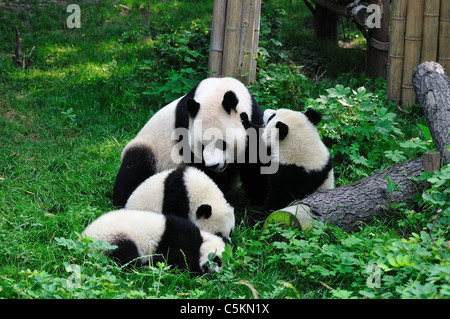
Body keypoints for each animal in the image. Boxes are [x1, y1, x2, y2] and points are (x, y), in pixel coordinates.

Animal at [81, 210, 229, 276]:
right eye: (217, 260)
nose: (212, 271)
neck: (204, 238)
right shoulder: (181, 236)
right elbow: (181, 262)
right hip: (111, 239)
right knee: (127, 257)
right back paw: (146, 267)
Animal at [112, 77, 266, 208]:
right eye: (201, 146)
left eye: (221, 143)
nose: (213, 165)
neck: (218, 92)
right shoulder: (185, 124)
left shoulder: (254, 117)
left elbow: (254, 162)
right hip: (150, 147)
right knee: (134, 166)